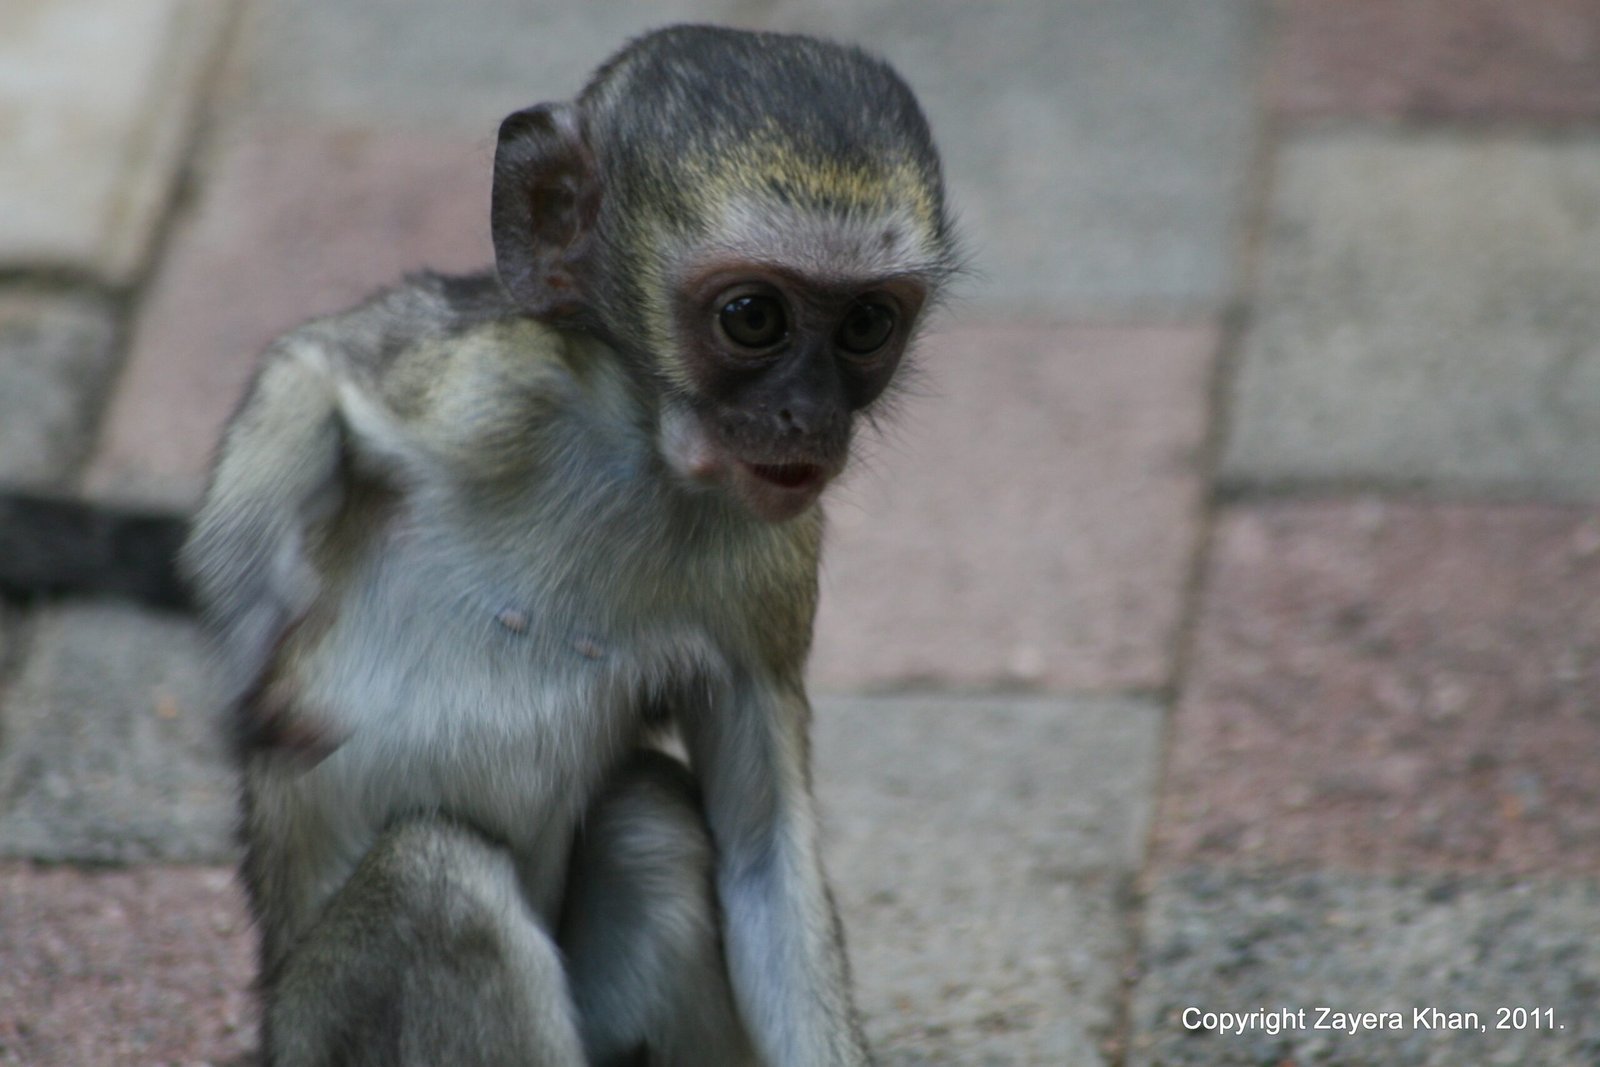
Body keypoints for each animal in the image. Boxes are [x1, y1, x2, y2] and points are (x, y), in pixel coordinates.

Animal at [181, 24, 958, 1067]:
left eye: (868, 324)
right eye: (754, 317)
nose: (809, 418)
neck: (644, 457)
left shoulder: (774, 569)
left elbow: (762, 861)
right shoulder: (495, 381)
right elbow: (314, 366)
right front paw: (250, 621)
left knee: (649, 823)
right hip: (315, 1031)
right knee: (437, 879)